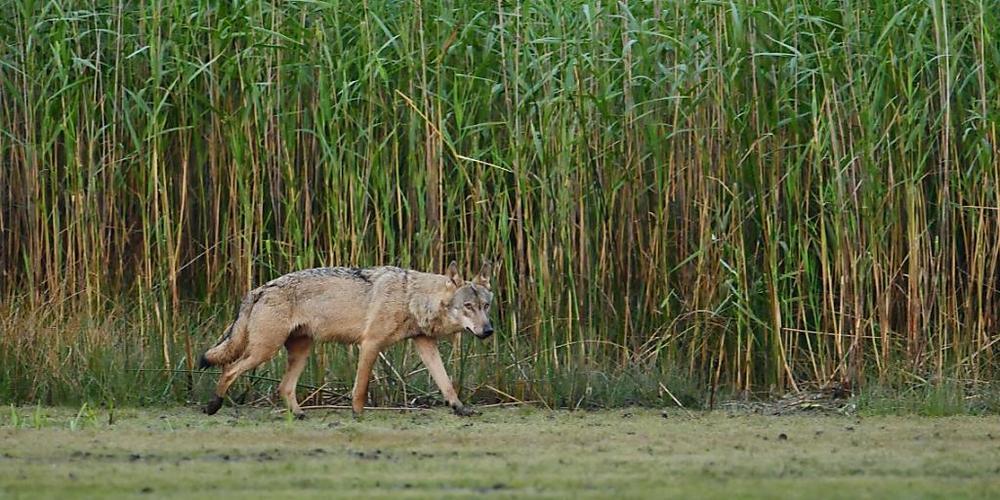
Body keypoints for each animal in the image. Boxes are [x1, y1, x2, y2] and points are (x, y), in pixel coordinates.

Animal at [198, 261, 494, 418]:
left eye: (486, 306)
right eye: (468, 306)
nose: (488, 330)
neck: (412, 297)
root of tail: (258, 289)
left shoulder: (425, 344)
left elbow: (446, 383)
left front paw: (460, 408)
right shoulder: (370, 344)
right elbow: (360, 388)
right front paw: (358, 414)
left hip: (300, 351)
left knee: (284, 386)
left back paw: (299, 415)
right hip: (264, 352)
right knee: (229, 369)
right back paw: (213, 405)